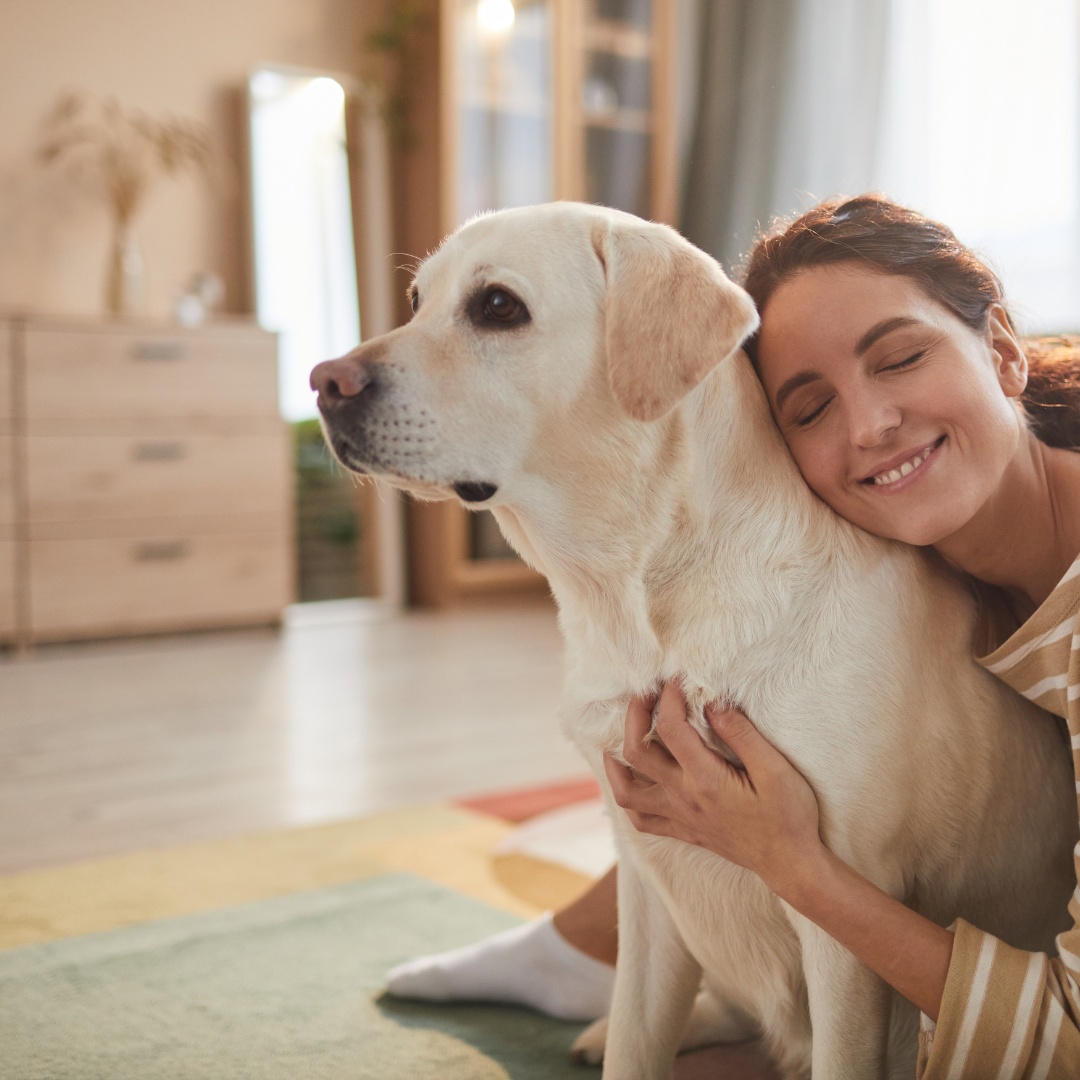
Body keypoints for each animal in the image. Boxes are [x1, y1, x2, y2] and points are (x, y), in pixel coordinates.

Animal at [308, 200, 1075, 1071]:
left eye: (497, 306)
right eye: (415, 301)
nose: (323, 382)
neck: (638, 609)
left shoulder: (845, 923)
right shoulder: (648, 882)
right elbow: (634, 1044)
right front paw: (615, 1038)